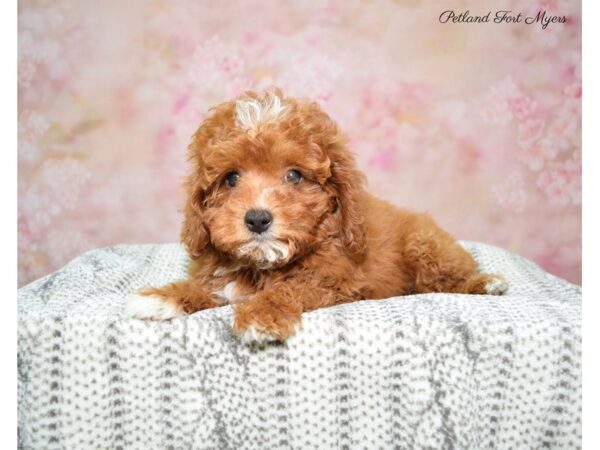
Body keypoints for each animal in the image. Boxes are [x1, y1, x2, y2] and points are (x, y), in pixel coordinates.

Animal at [126, 90, 506, 344]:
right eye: (231, 178)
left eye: (294, 175)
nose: (257, 219)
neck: (262, 263)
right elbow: (208, 286)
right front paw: (165, 296)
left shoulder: (338, 279)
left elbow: (293, 287)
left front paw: (262, 314)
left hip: (425, 246)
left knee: (447, 278)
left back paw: (485, 283)